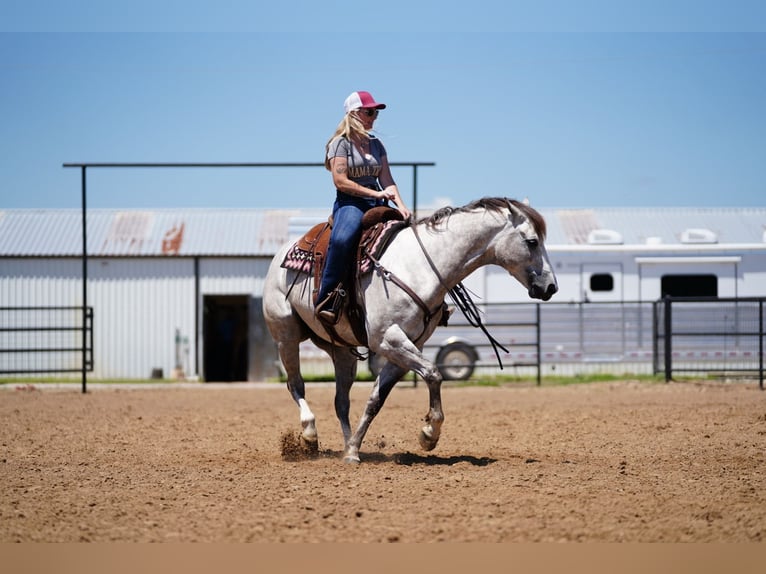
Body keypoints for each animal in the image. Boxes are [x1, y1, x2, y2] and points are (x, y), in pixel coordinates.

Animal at [262, 198, 560, 464]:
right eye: (532, 241)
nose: (550, 286)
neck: (421, 267)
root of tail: (280, 255)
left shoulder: (404, 348)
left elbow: (376, 399)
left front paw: (354, 450)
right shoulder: (388, 340)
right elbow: (434, 373)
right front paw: (429, 434)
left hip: (341, 349)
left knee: (341, 400)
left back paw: (345, 444)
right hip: (286, 335)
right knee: (296, 384)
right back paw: (309, 434)